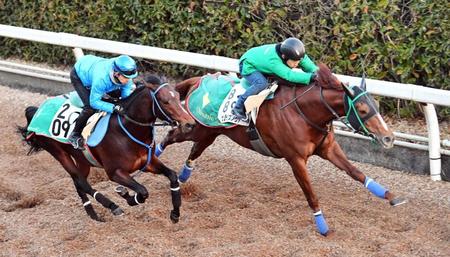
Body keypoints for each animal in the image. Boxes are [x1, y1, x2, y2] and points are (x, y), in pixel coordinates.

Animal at [16, 73, 196, 221]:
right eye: (165, 101)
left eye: (178, 96)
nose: (190, 124)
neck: (126, 131)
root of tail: (37, 111)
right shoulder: (115, 172)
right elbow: (143, 191)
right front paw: (127, 196)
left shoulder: (147, 162)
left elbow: (172, 176)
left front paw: (175, 213)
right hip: (59, 152)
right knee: (81, 182)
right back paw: (112, 206)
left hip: (82, 159)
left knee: (78, 183)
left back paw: (93, 214)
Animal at [156, 64, 406, 234]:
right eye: (362, 110)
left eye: (376, 105)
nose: (388, 138)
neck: (305, 112)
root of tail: (200, 79)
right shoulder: (296, 159)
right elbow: (311, 193)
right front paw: (322, 225)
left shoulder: (328, 149)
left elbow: (356, 172)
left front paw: (390, 196)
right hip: (196, 128)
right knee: (170, 136)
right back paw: (155, 156)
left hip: (210, 132)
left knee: (194, 152)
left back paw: (183, 176)